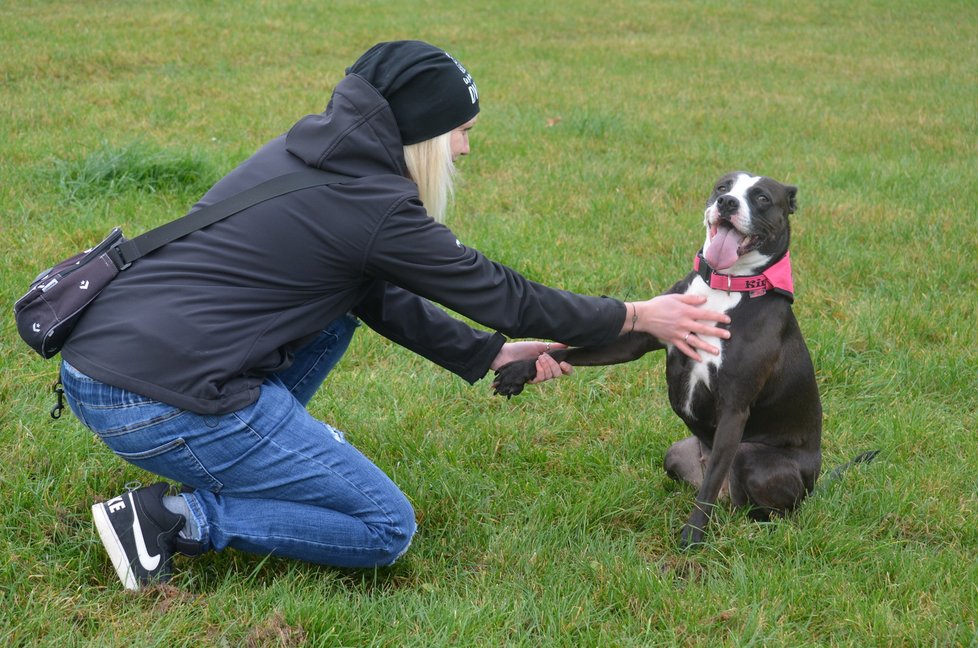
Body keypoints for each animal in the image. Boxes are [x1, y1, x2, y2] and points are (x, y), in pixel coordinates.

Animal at [492, 171, 820, 548]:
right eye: (722, 187)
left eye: (762, 198)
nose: (727, 203)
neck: (726, 288)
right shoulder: (641, 335)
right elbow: (568, 348)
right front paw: (519, 369)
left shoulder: (734, 408)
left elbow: (709, 485)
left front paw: (693, 534)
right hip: (677, 452)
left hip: (751, 457)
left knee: (764, 503)